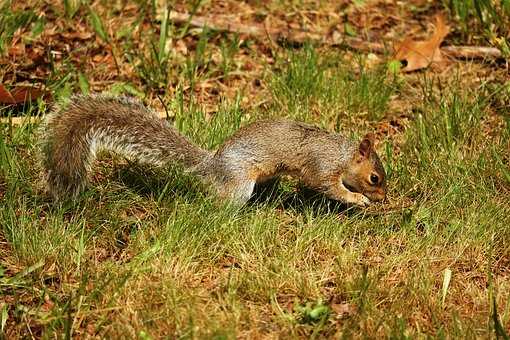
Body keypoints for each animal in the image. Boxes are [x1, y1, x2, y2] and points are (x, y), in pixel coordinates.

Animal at [38, 95, 386, 207]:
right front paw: (359, 200)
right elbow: (326, 186)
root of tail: (212, 164)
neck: (341, 153)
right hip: (239, 184)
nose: (384, 198)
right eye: (374, 178)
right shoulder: (322, 166)